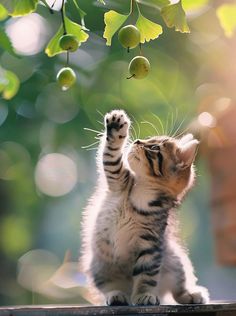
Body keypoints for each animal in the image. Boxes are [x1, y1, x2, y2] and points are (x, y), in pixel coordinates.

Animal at [80, 109, 209, 306]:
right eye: (149, 139)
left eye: (154, 148)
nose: (137, 141)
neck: (140, 194)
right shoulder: (118, 179)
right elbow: (110, 156)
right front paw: (116, 125)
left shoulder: (151, 246)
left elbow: (146, 275)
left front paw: (144, 294)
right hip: (100, 267)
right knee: (108, 287)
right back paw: (115, 294)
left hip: (175, 259)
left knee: (178, 288)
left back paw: (190, 294)